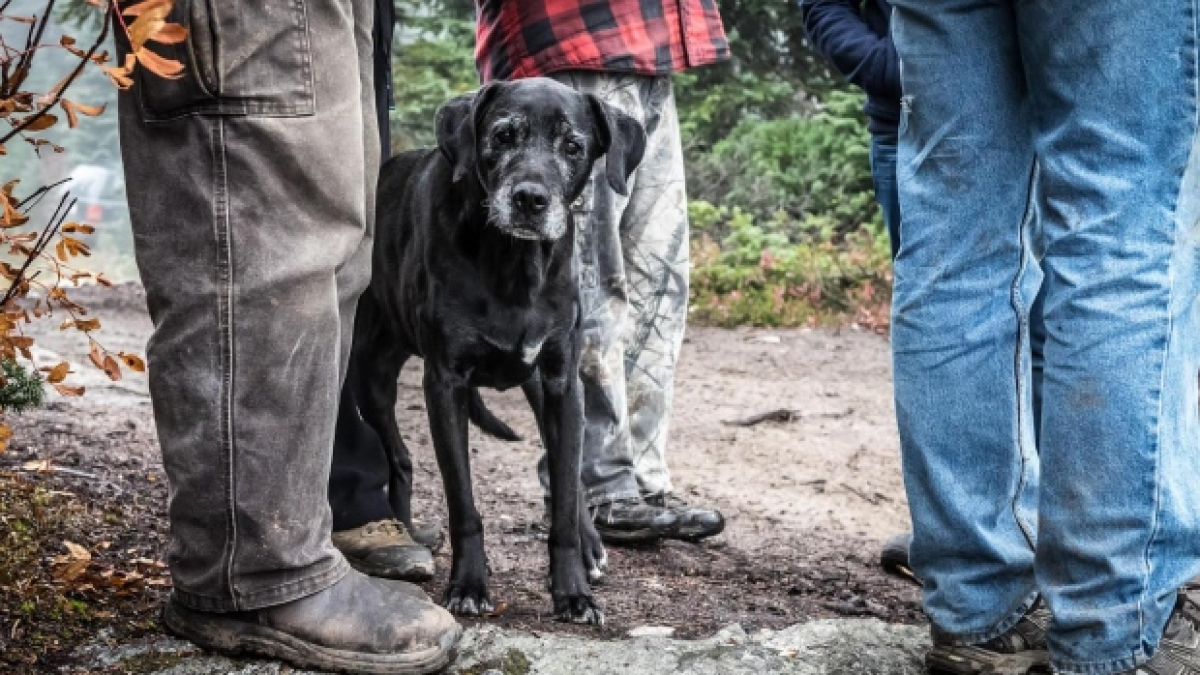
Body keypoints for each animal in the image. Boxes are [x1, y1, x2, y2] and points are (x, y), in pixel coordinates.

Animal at [343, 77, 643, 619]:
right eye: (503, 135)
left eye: (574, 146)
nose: (530, 198)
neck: (513, 261)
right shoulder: (446, 385)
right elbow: (463, 501)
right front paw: (468, 584)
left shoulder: (560, 381)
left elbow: (565, 489)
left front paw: (572, 589)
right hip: (369, 377)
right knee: (399, 457)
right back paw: (403, 533)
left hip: (538, 389)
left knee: (565, 473)